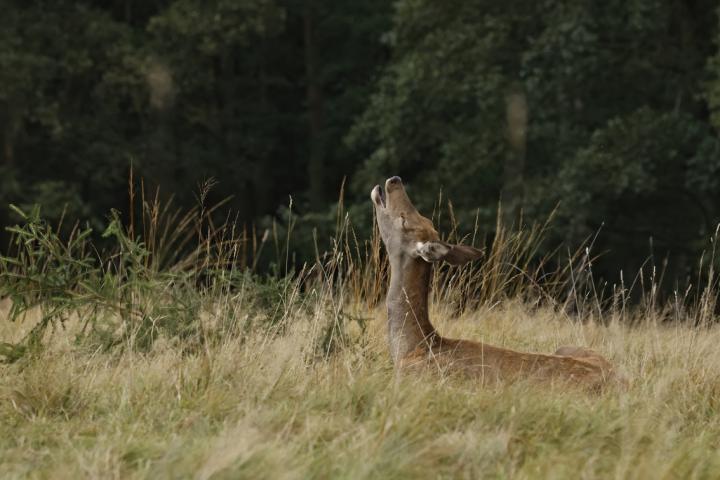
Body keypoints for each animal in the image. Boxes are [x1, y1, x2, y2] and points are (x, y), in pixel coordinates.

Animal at [372, 175, 620, 390]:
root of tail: (621, 383)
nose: (394, 180)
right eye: (426, 218)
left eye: (404, 221)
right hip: (567, 348)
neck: (411, 348)